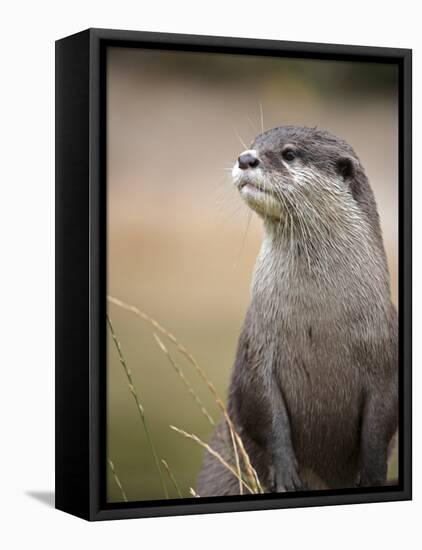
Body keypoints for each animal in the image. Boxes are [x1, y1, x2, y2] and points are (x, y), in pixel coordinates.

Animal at [198, 126, 398, 496]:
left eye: (289, 153)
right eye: (255, 143)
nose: (245, 158)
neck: (318, 320)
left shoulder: (386, 358)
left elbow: (379, 430)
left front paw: (371, 476)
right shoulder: (257, 345)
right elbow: (265, 410)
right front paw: (286, 472)